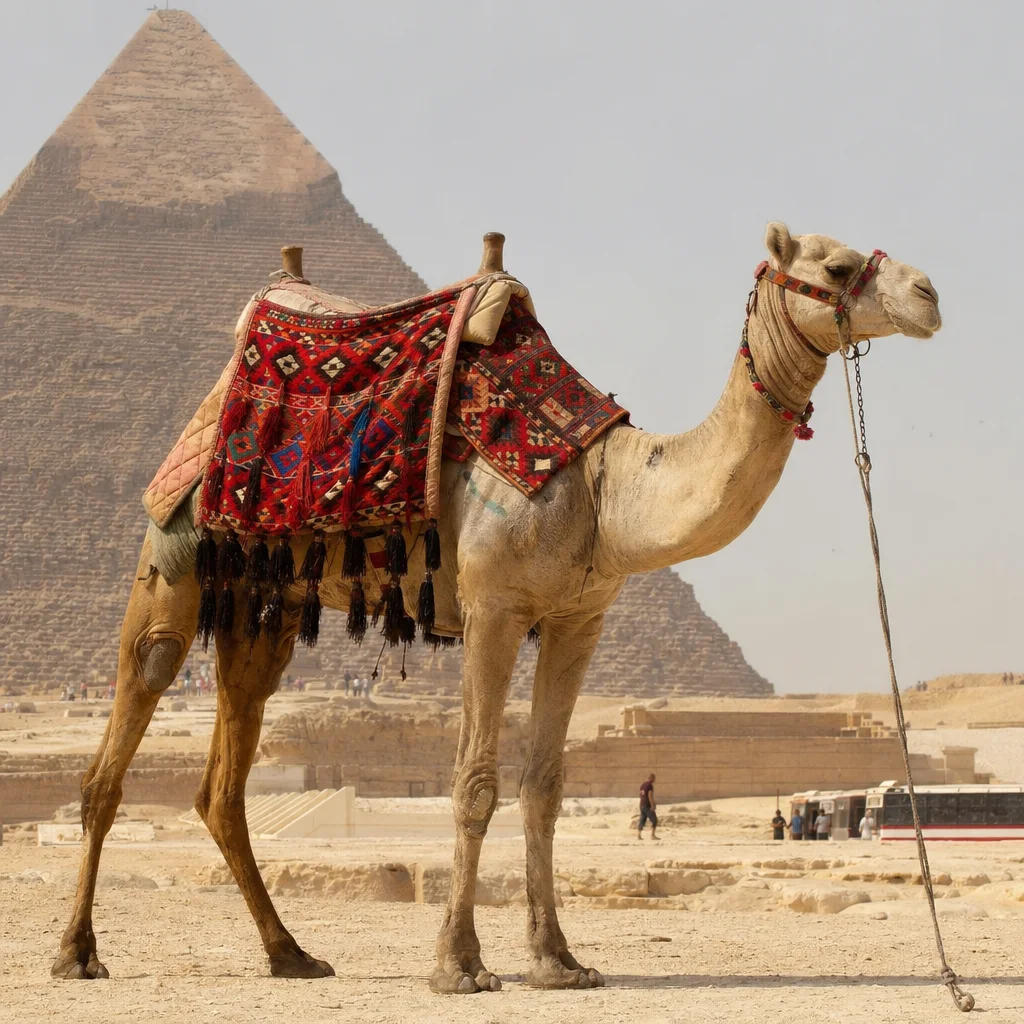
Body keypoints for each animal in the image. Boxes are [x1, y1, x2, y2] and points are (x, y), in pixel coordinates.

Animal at [52, 223, 941, 991]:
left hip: (261, 605)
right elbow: (474, 781)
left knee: (224, 777)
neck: (605, 486)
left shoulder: (579, 619)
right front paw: (461, 966)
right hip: (171, 556)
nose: (930, 292)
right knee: (123, 731)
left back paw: (290, 954)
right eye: (835, 266)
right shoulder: (493, 608)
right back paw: (78, 952)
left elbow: (543, 786)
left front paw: (559, 962)